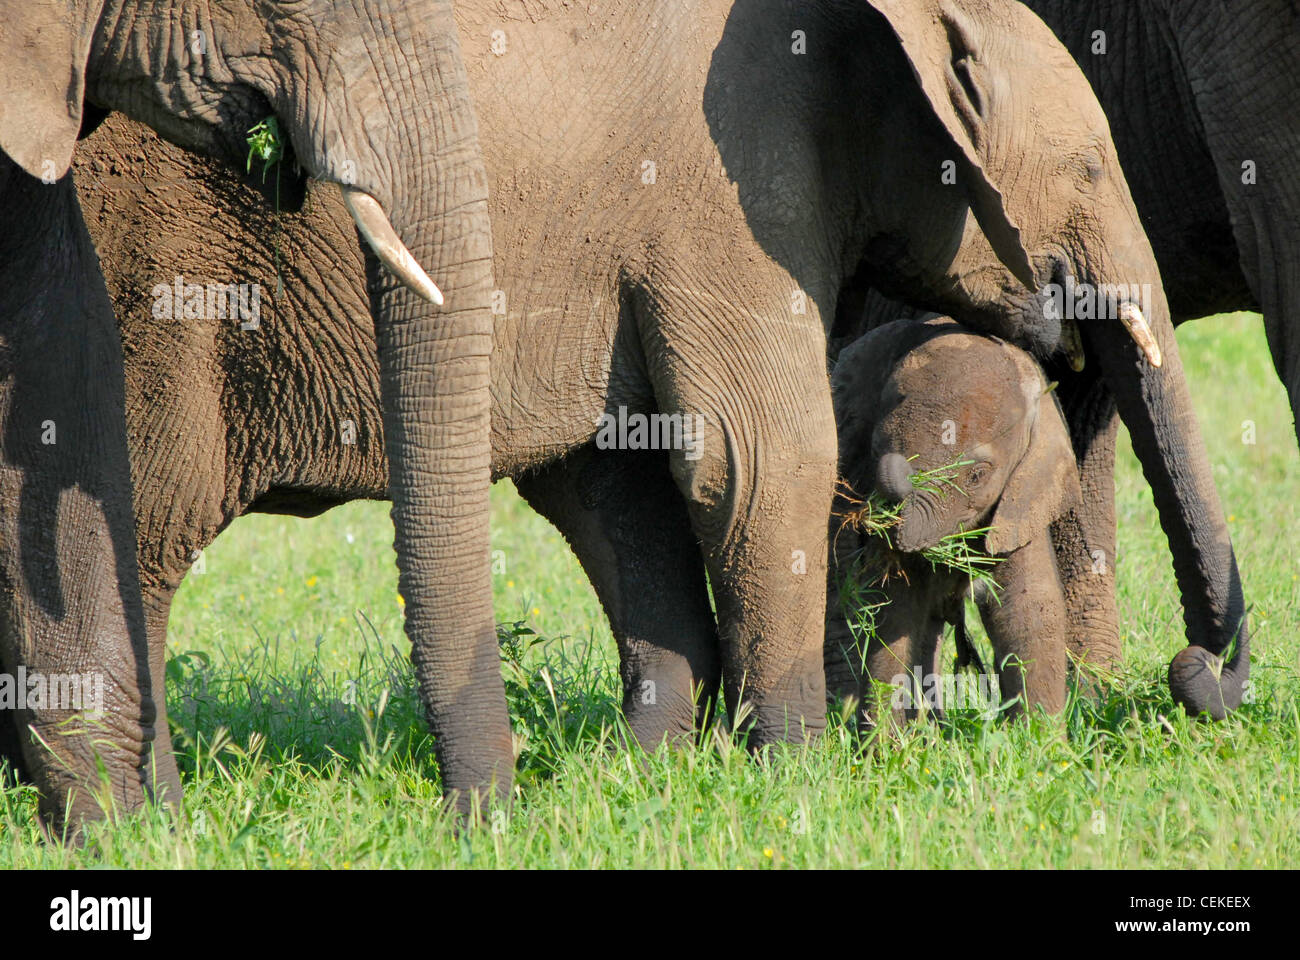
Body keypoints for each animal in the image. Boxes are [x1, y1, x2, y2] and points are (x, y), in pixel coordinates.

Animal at [826, 316, 1081, 723]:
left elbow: (1027, 608)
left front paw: (1041, 735)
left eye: (977, 475)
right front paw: (885, 739)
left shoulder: (1020, 497)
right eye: (876, 448)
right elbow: (895, 610)